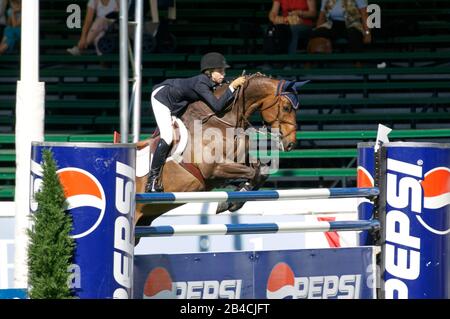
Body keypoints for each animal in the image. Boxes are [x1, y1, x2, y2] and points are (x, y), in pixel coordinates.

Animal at [136, 74, 306, 226]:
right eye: (286, 108)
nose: (291, 144)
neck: (221, 122)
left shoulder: (240, 159)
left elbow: (261, 171)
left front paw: (233, 200)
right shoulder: (213, 169)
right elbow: (253, 173)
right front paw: (231, 201)